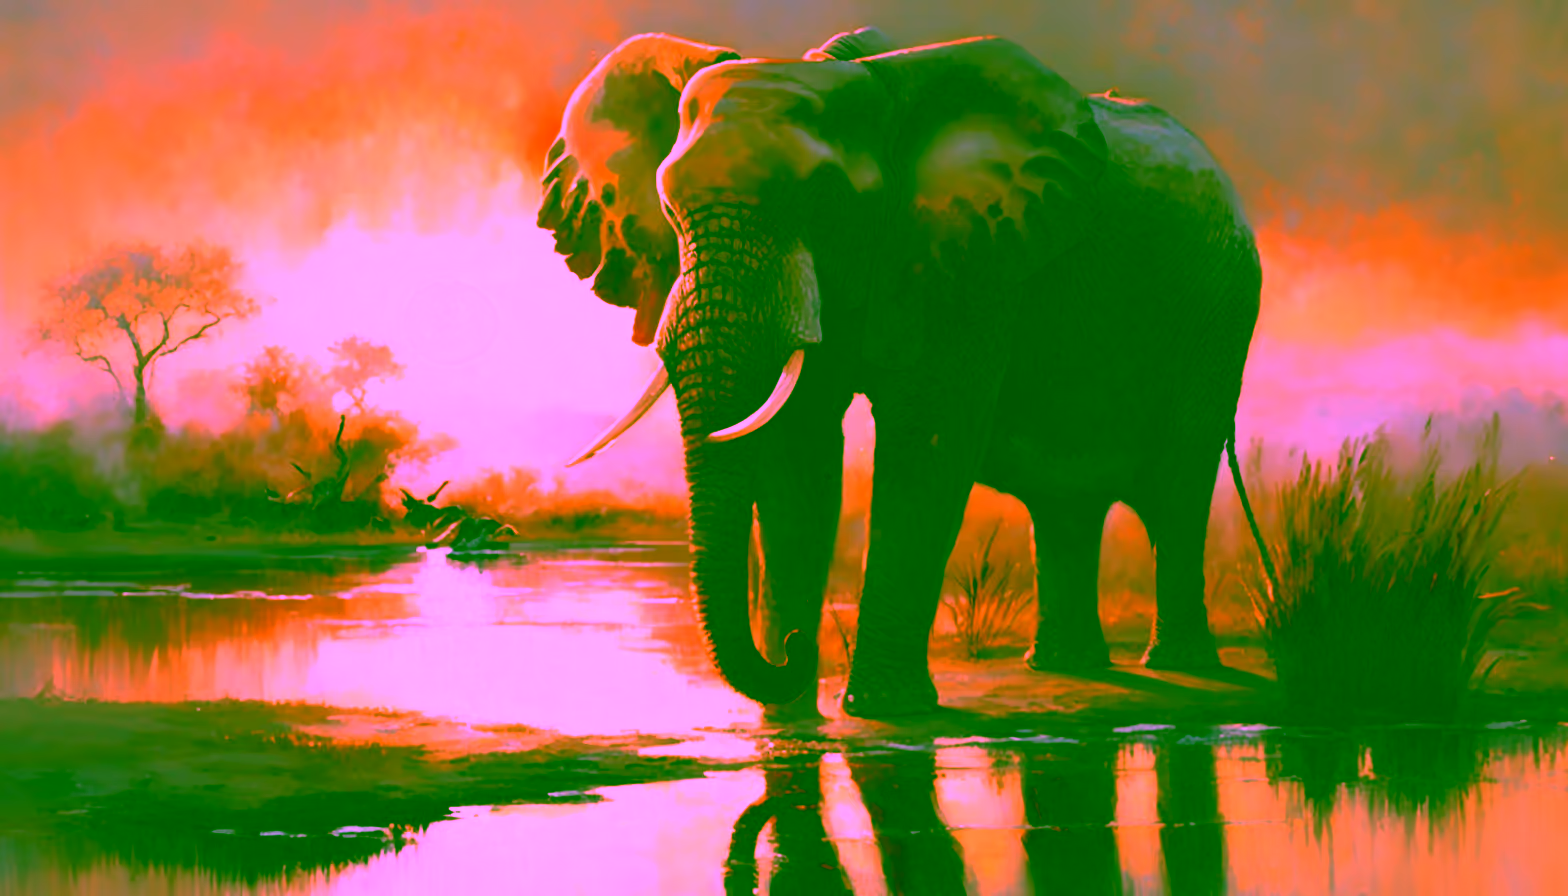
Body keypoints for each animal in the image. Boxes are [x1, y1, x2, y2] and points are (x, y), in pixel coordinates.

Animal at [536, 25, 1269, 718]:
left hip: (1220, 312)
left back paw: (1179, 666)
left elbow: (926, 446)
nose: (794, 651)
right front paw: (792, 715)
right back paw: (1067, 668)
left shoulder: (970, 260)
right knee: (1066, 502)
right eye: (668, 208)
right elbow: (797, 446)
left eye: (825, 202)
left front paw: (882, 711)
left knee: (1178, 488)